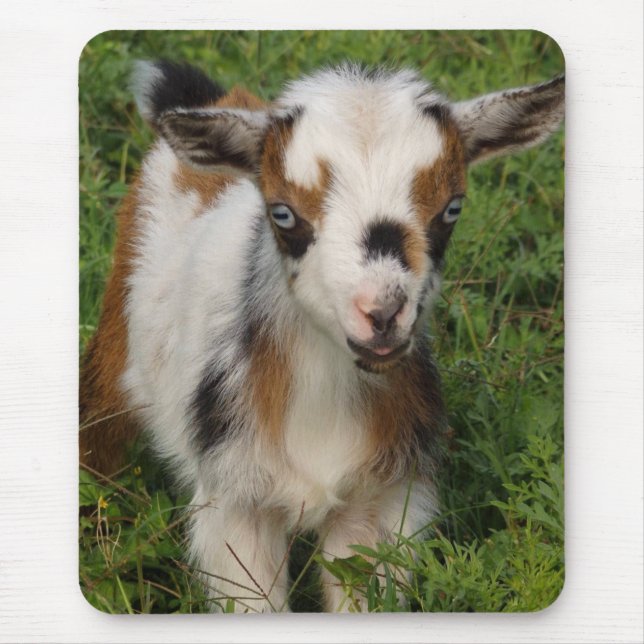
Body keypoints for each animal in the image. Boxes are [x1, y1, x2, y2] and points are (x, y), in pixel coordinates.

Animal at [79, 60, 564, 612]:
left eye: (452, 208)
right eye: (283, 214)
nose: (382, 312)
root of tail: (219, 98)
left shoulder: (378, 502)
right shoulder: (235, 504)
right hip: (115, 349)